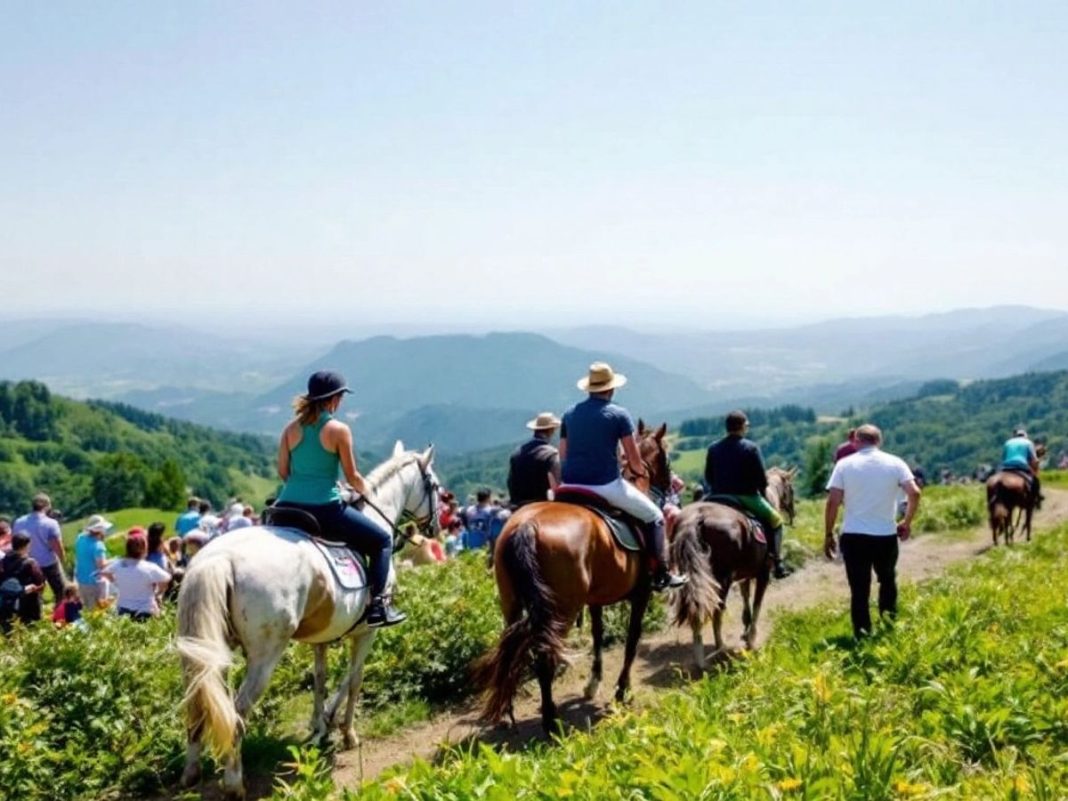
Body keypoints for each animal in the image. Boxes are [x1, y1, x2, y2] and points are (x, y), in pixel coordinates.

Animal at [177, 442, 440, 798]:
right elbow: (353, 679)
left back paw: (191, 772)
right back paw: (234, 783)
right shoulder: (366, 632)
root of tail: (219, 558)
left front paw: (319, 726)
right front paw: (345, 731)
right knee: (236, 714)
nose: (433, 528)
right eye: (435, 487)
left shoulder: (322, 637)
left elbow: (320, 678)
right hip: (264, 656)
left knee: (197, 704)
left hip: (203, 651)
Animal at [478, 422, 670, 739]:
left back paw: (507, 713)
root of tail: (526, 526)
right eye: (665, 457)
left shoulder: (595, 601)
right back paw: (550, 721)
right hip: (561, 610)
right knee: (545, 658)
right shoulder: (641, 594)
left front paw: (593, 683)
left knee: (513, 651)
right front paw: (622, 691)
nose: (670, 485)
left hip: (512, 604)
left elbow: (597, 636)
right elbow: (632, 639)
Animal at [670, 467, 798, 666]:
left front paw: (745, 631)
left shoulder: (744, 575)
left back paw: (700, 652)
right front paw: (751, 637)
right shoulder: (763, 574)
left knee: (697, 604)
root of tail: (697, 517)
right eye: (791, 489)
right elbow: (757, 604)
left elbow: (746, 601)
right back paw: (720, 647)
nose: (793, 513)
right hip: (722, 579)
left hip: (690, 576)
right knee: (717, 609)